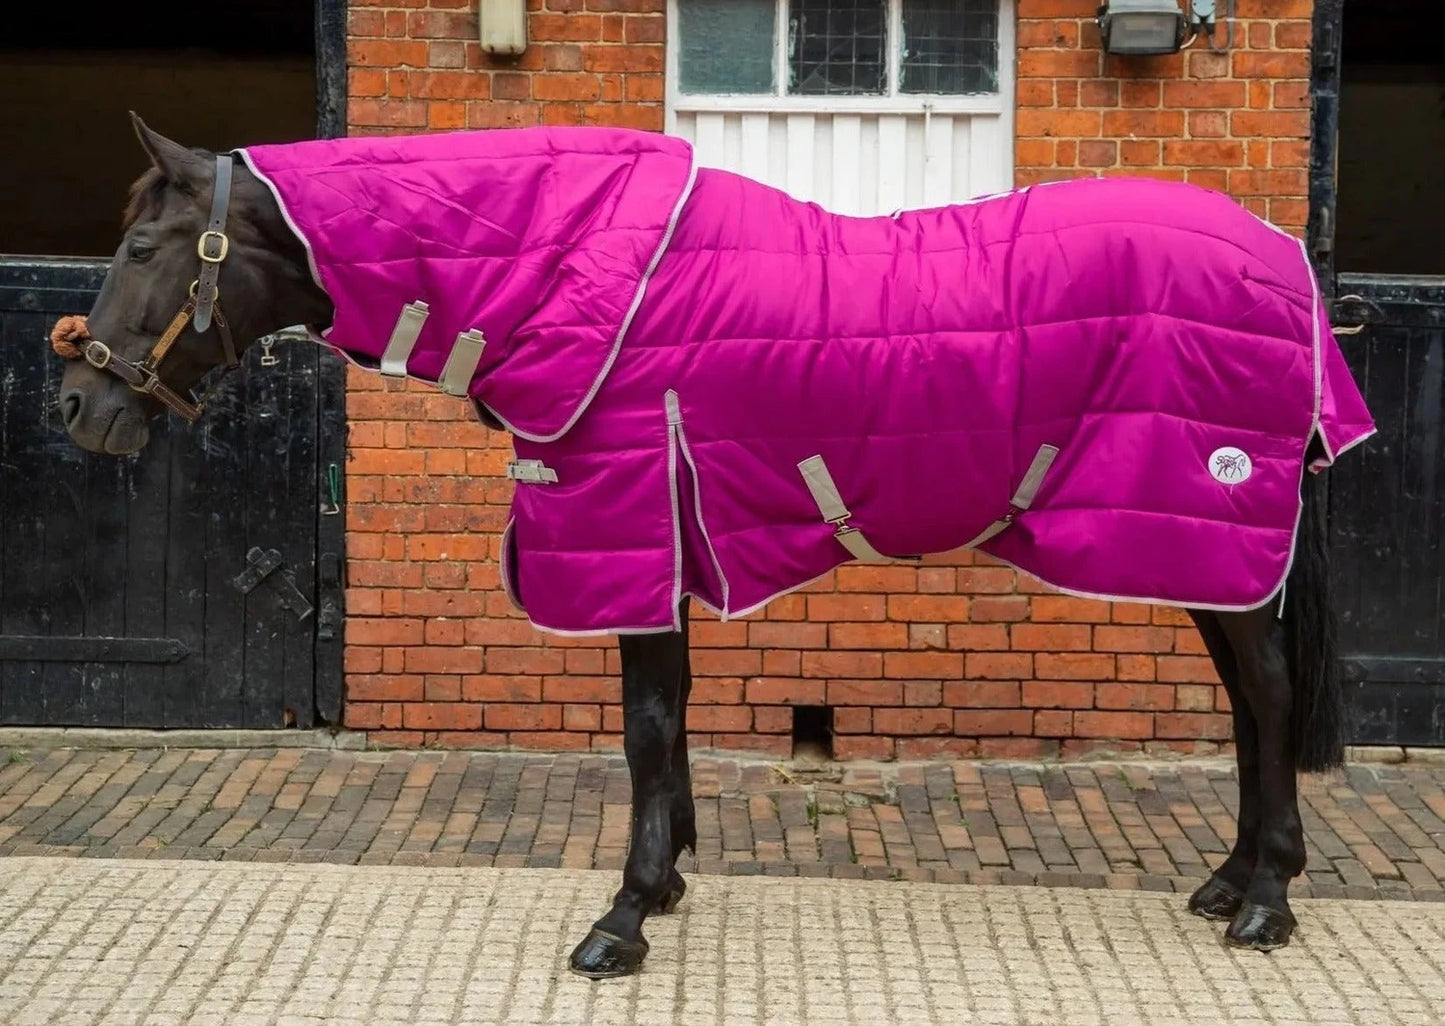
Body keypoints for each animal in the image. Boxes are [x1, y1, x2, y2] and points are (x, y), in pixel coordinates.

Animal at [53, 113, 1374, 977]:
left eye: (138, 250)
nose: (76, 404)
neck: (587, 271)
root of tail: (1278, 261)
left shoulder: (627, 525)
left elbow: (643, 726)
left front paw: (623, 917)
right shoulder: (664, 542)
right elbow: (671, 717)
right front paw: (671, 877)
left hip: (1206, 532)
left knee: (1262, 692)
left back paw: (1264, 900)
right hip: (1198, 551)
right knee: (1249, 699)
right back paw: (1229, 882)